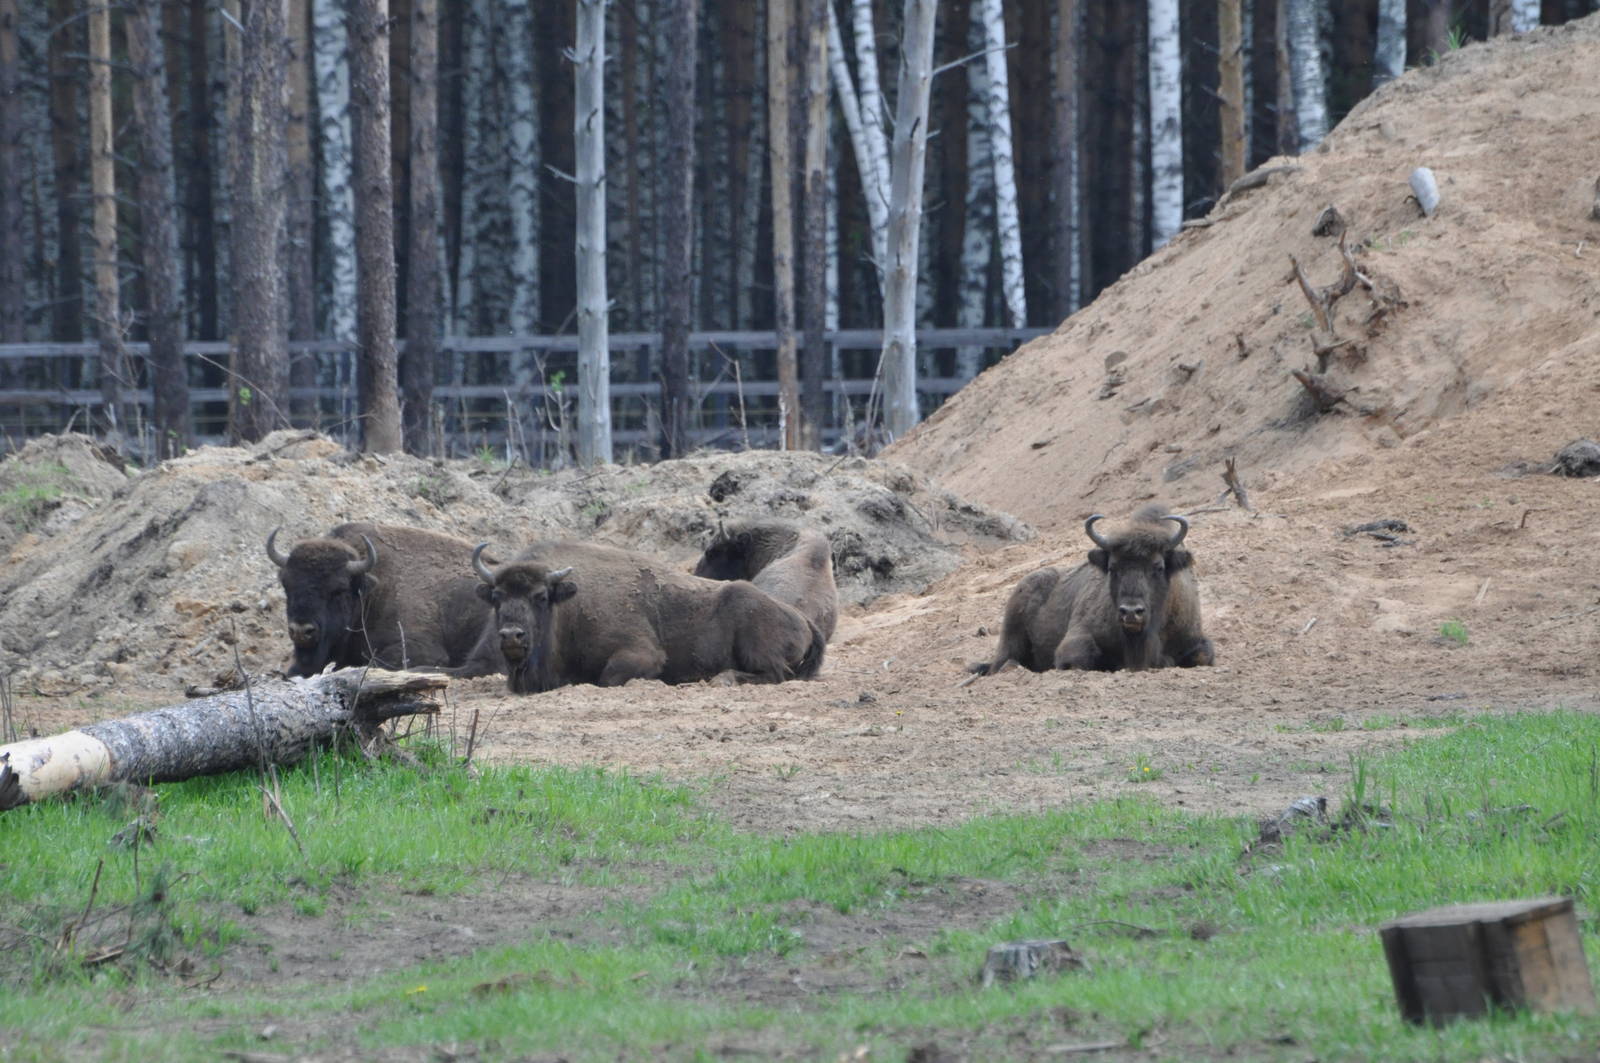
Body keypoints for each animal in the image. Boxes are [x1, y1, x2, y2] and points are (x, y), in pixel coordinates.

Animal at [470, 540, 826, 693]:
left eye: (541, 597)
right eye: (497, 598)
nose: (511, 636)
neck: (569, 607)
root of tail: (801, 618)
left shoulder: (642, 653)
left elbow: (608, 678)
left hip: (756, 642)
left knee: (776, 674)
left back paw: (721, 678)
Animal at [972, 504, 1214, 675]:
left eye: (1159, 566)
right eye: (1113, 567)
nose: (1131, 612)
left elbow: (1203, 656)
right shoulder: (1077, 637)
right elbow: (1078, 658)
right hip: (1010, 638)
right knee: (1001, 663)